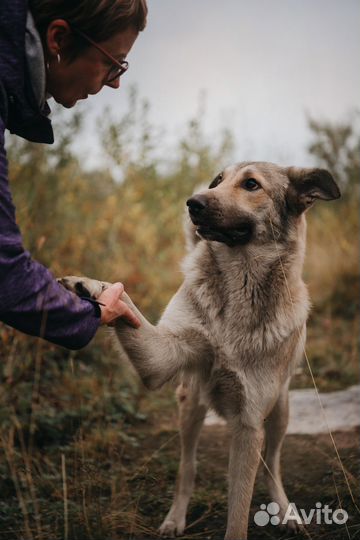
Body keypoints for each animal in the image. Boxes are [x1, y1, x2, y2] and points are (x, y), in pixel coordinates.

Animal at [60, 162, 342, 536]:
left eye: (251, 184)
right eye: (218, 181)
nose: (193, 203)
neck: (239, 286)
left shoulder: (249, 424)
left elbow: (239, 513)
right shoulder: (161, 358)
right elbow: (127, 305)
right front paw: (91, 287)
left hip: (280, 410)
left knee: (271, 463)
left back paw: (285, 511)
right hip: (190, 404)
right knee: (187, 466)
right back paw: (175, 517)